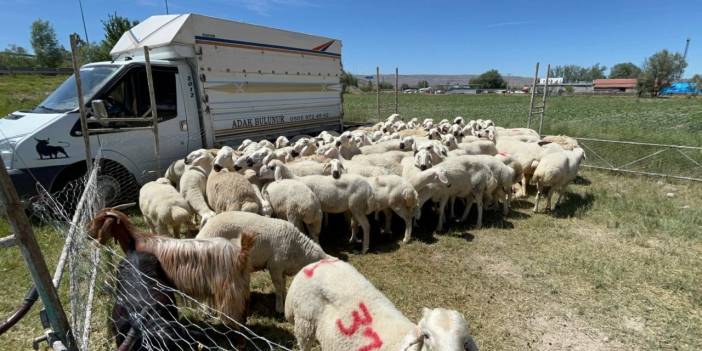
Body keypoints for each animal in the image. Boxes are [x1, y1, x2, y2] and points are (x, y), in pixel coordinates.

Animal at [90, 209, 256, 328]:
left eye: (99, 221)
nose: (88, 234)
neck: (138, 240)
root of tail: (240, 253)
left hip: (229, 291)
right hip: (241, 287)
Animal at [198, 212, 330, 314]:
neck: (298, 250)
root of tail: (201, 233)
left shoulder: (282, 268)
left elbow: (283, 285)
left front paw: (284, 298)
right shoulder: (275, 266)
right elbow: (278, 286)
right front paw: (279, 308)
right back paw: (206, 310)